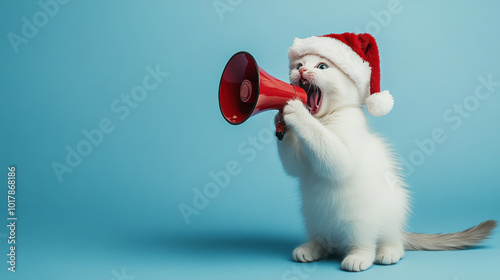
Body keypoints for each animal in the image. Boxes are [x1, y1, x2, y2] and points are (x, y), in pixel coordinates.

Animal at [278, 53, 496, 272]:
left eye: (322, 66)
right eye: (298, 65)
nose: (302, 71)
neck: (323, 119)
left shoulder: (342, 150)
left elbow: (324, 144)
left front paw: (296, 110)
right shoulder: (300, 162)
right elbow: (293, 163)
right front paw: (281, 118)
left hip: (363, 220)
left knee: (375, 243)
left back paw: (371, 256)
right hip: (314, 219)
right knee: (324, 242)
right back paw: (311, 249)